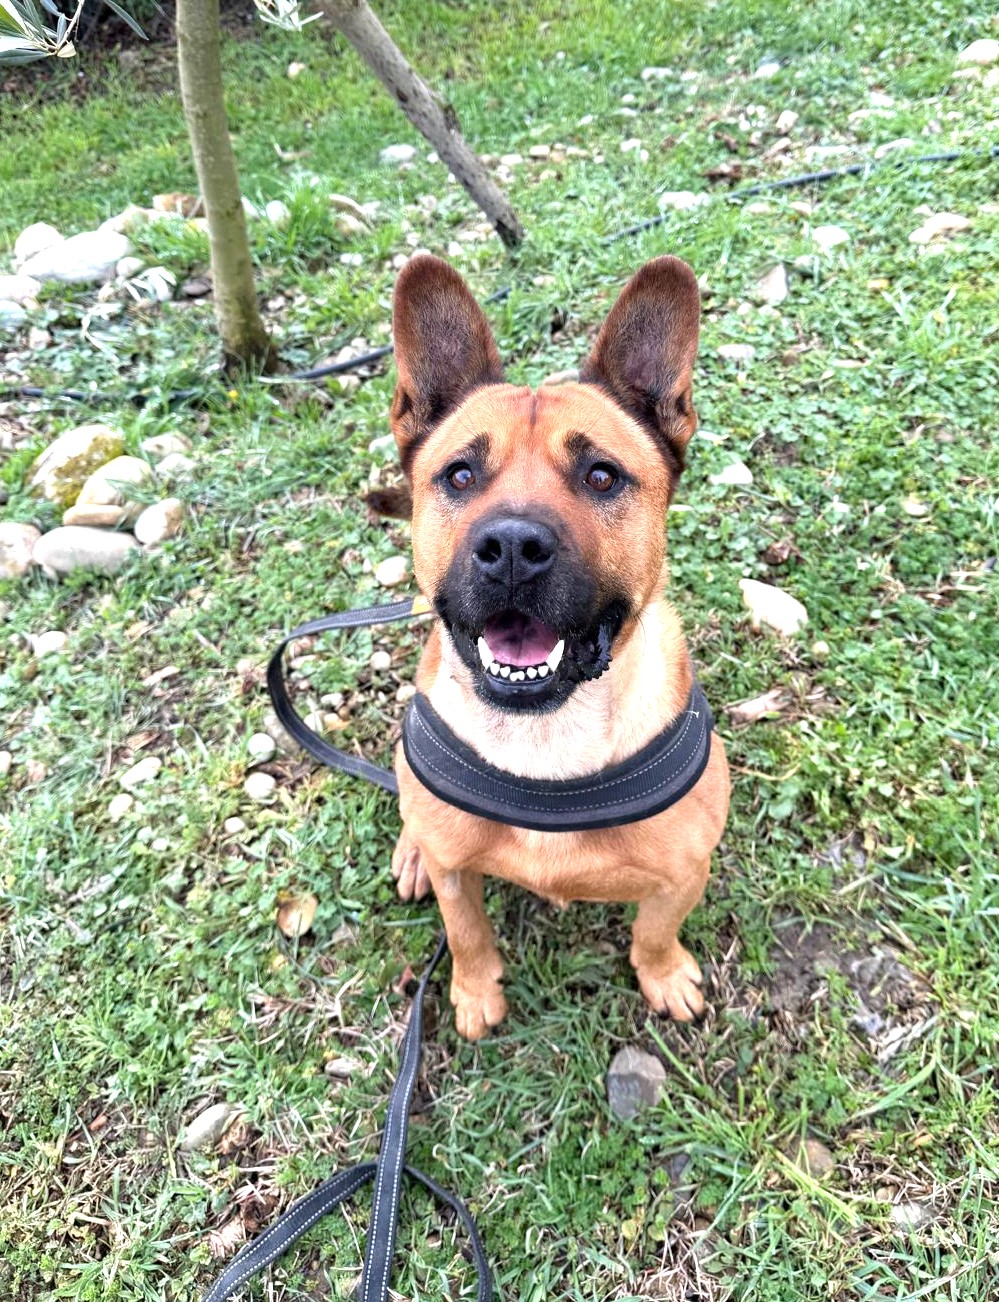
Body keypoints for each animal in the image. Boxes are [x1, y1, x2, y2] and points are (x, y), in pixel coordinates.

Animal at [386, 254, 730, 1040]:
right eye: (460, 475)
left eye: (601, 475)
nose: (512, 547)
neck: (544, 736)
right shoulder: (458, 873)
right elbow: (465, 931)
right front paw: (475, 990)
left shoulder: (685, 872)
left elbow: (654, 931)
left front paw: (662, 974)